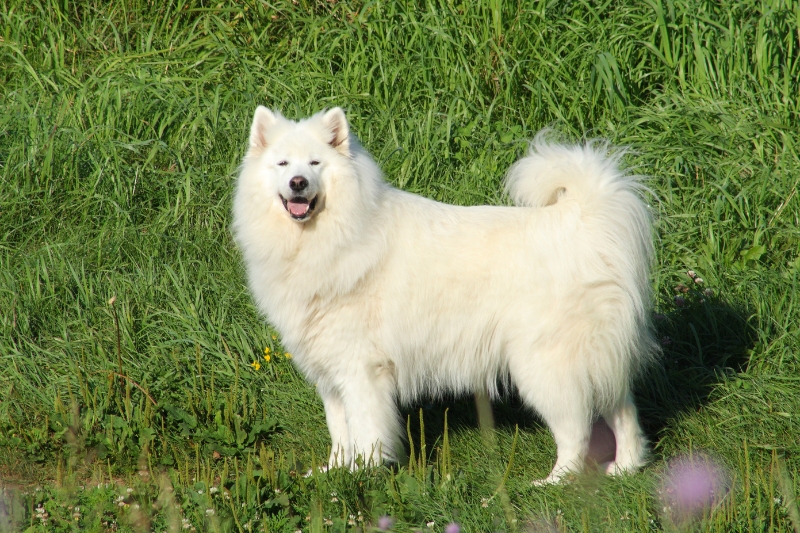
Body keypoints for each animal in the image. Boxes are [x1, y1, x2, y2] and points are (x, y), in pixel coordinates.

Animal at [231, 107, 656, 482]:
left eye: (315, 163)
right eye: (283, 164)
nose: (298, 183)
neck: (332, 235)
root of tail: (582, 221)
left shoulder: (360, 369)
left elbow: (365, 429)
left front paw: (363, 475)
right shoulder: (330, 373)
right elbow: (340, 431)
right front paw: (334, 474)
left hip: (544, 366)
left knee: (575, 429)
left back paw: (555, 481)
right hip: (595, 358)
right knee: (623, 410)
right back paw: (625, 468)